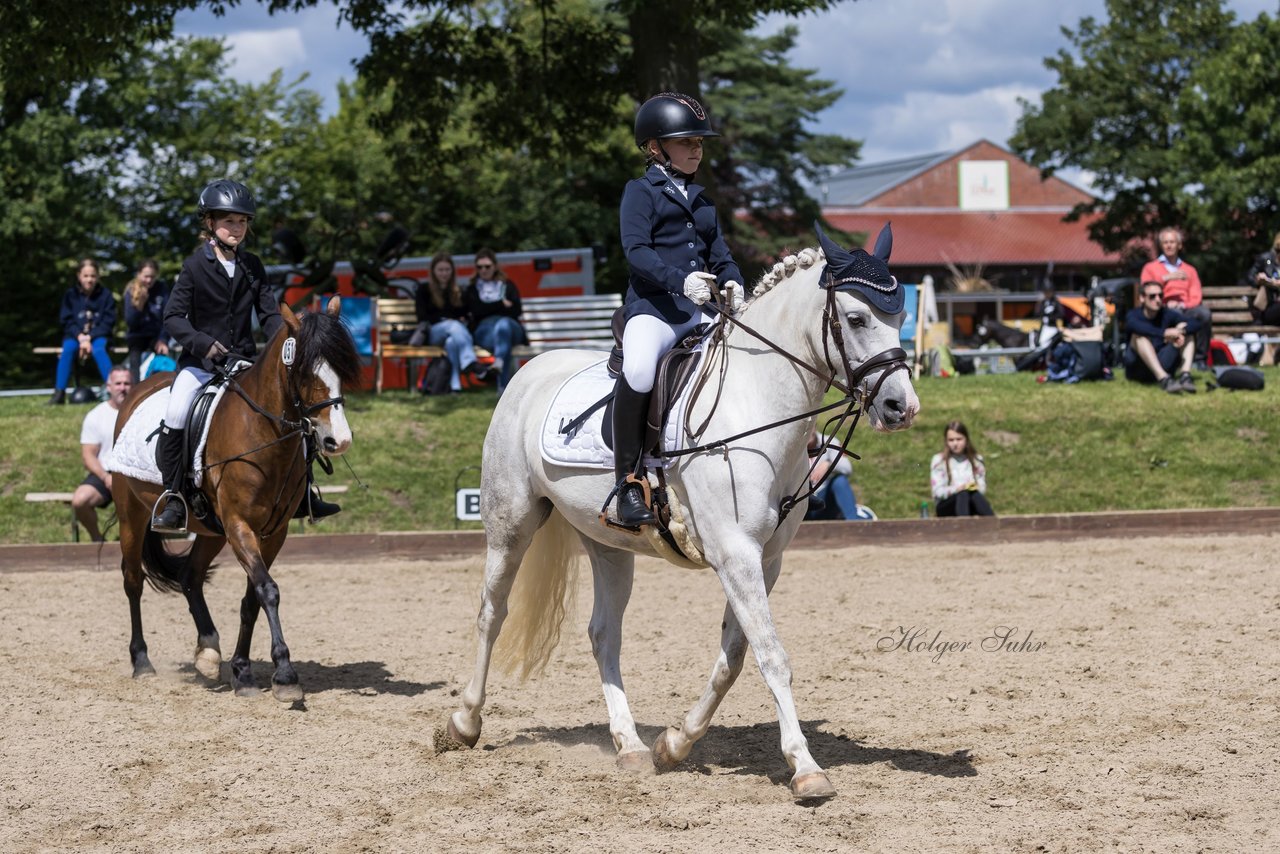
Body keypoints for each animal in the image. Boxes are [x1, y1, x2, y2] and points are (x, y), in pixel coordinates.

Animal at [112, 299, 360, 701]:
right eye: (304, 371)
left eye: (343, 367)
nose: (339, 441)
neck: (264, 433)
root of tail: (137, 391)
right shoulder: (239, 525)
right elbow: (268, 590)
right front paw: (285, 675)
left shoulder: (272, 533)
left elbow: (252, 600)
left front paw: (242, 672)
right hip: (131, 514)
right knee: (133, 581)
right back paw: (142, 662)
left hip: (210, 530)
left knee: (190, 576)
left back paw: (208, 652)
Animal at [442, 226, 921, 804]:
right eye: (855, 318)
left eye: (901, 314)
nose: (901, 407)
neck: (755, 401)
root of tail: (529, 368)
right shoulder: (735, 554)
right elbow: (771, 655)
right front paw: (806, 768)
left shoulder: (765, 558)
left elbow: (734, 657)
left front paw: (675, 743)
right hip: (510, 524)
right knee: (492, 613)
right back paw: (464, 723)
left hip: (608, 545)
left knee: (603, 634)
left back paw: (630, 746)